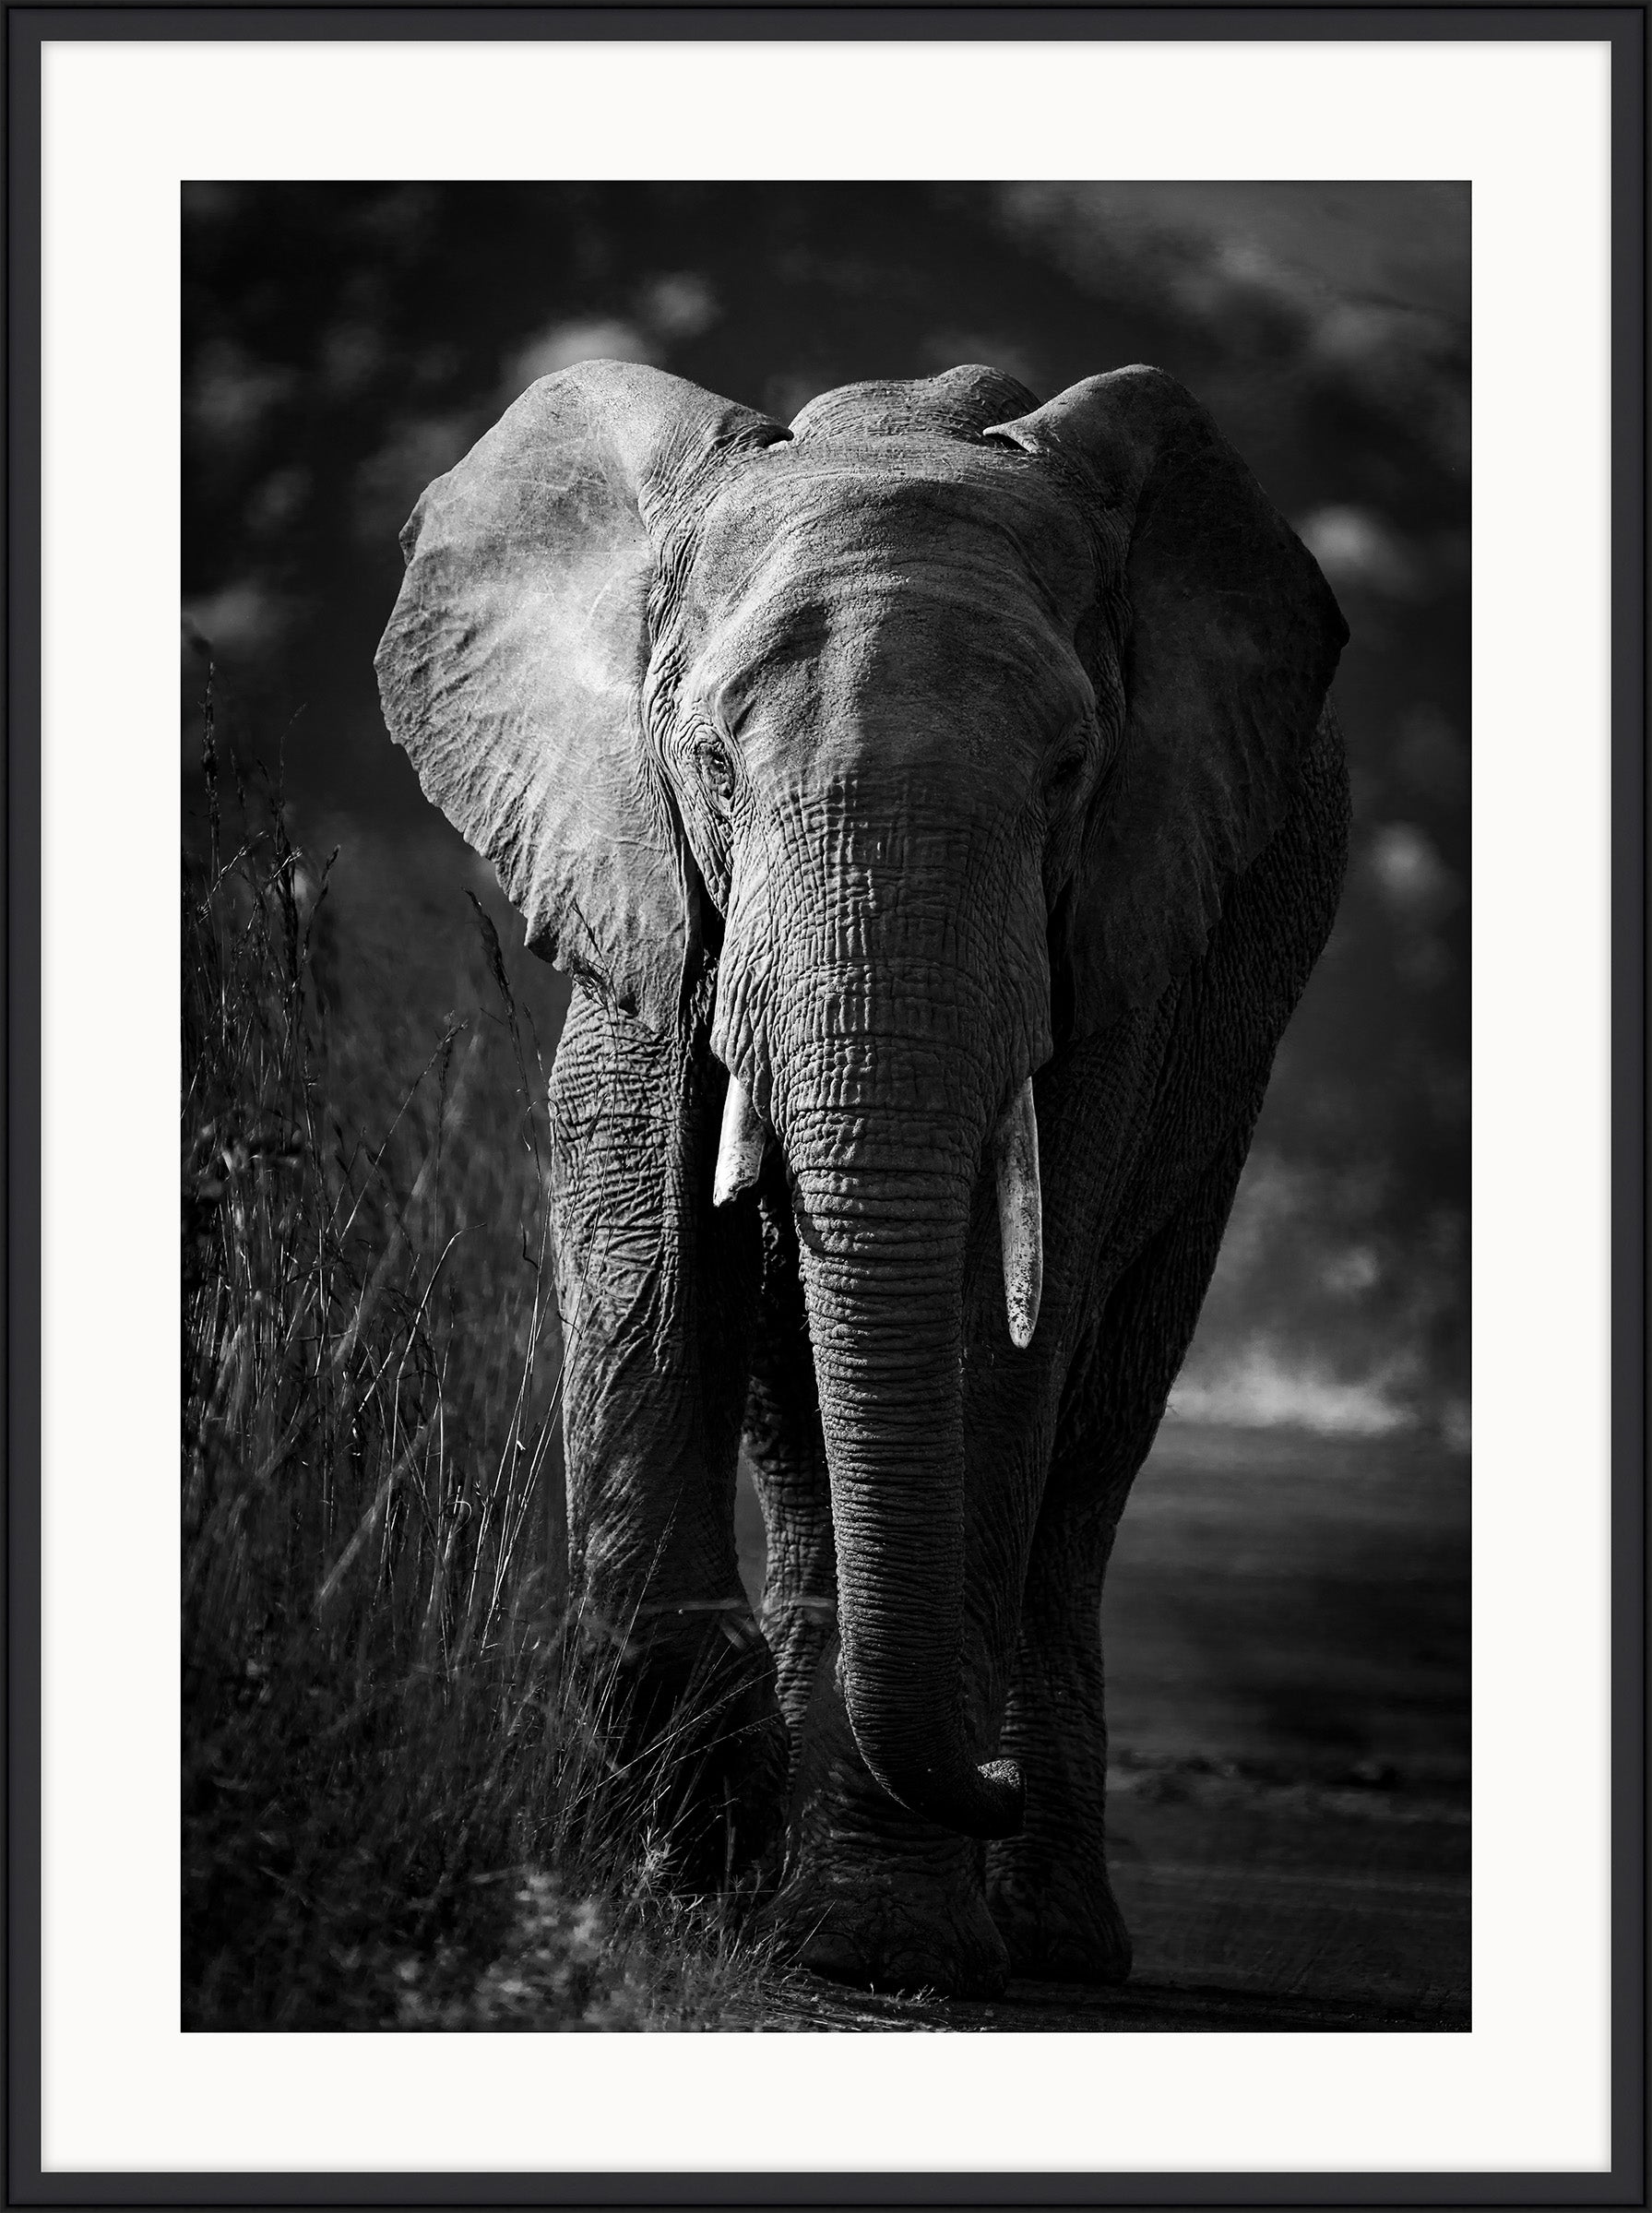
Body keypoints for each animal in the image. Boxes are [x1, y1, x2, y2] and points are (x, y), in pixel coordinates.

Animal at [375, 358, 1348, 1999]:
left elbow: (989, 1332)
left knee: (1085, 1450)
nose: (981, 1777)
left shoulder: (1114, 936)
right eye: (708, 764)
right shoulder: (634, 875)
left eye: (1069, 771)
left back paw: (1048, 1935)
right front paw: (705, 1840)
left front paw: (881, 1944)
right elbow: (638, 1262)